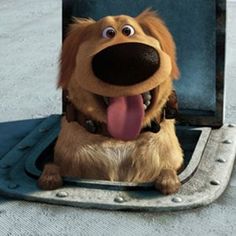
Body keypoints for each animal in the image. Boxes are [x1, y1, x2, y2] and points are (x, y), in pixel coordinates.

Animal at [38, 9, 183, 195]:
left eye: (129, 30)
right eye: (108, 33)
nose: (126, 58)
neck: (120, 140)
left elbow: (168, 168)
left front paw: (168, 179)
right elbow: (52, 166)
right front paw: (50, 177)